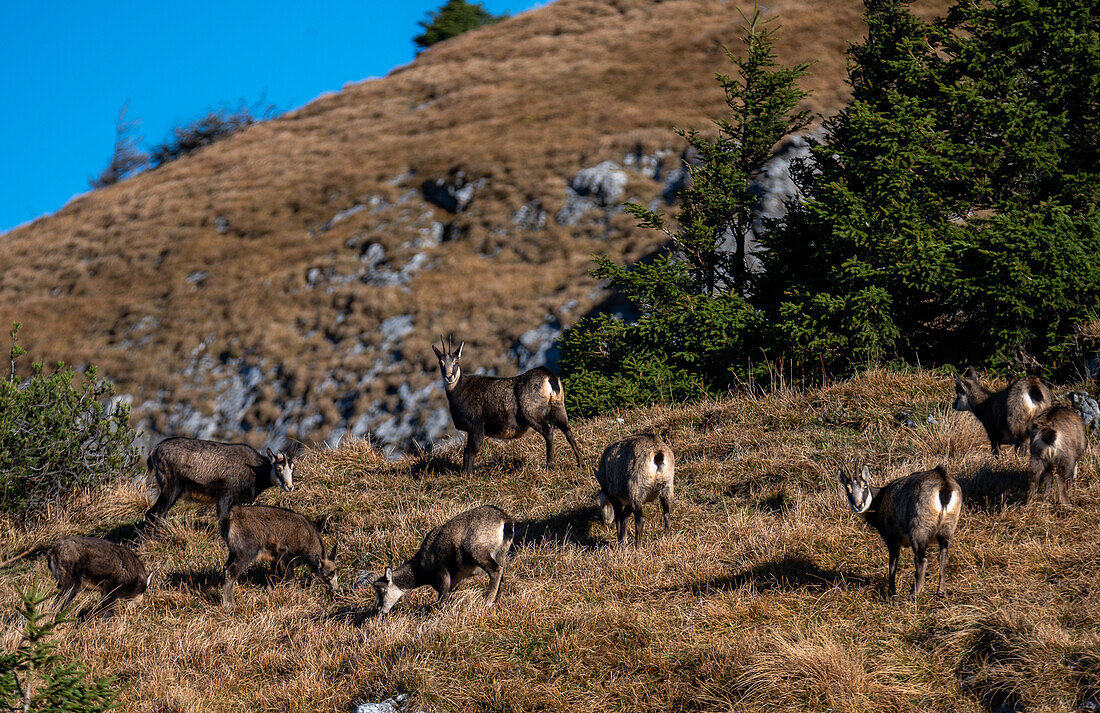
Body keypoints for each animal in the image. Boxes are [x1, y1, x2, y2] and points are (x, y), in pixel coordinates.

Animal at [141, 433, 299, 523]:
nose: (289, 487)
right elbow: (222, 518)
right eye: (278, 469)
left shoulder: (235, 501)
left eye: (293, 467)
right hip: (171, 487)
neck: (254, 471)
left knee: (151, 513)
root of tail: (155, 450)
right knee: (157, 513)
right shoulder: (225, 495)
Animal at [371, 503, 512, 616]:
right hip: (501, 552)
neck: (420, 567)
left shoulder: (442, 573)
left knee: (495, 570)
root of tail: (504, 520)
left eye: (381, 591)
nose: (378, 610)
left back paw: (487, 601)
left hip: (477, 551)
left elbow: (443, 598)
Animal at [431, 336, 585, 475]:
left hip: (531, 413)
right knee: (568, 431)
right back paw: (581, 463)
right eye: (441, 362)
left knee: (549, 432)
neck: (460, 389)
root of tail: (549, 376)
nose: (449, 377)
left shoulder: (476, 425)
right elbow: (468, 451)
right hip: (559, 408)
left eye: (456, 361)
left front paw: (466, 476)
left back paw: (550, 466)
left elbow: (470, 451)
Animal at [840, 464, 963, 598]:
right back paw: (941, 591)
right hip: (948, 528)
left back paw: (913, 594)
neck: (880, 499)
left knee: (922, 560)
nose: (858, 505)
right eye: (847, 489)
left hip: (918, 531)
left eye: (865, 486)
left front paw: (891, 592)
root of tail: (943, 484)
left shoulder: (892, 537)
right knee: (943, 556)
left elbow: (892, 564)